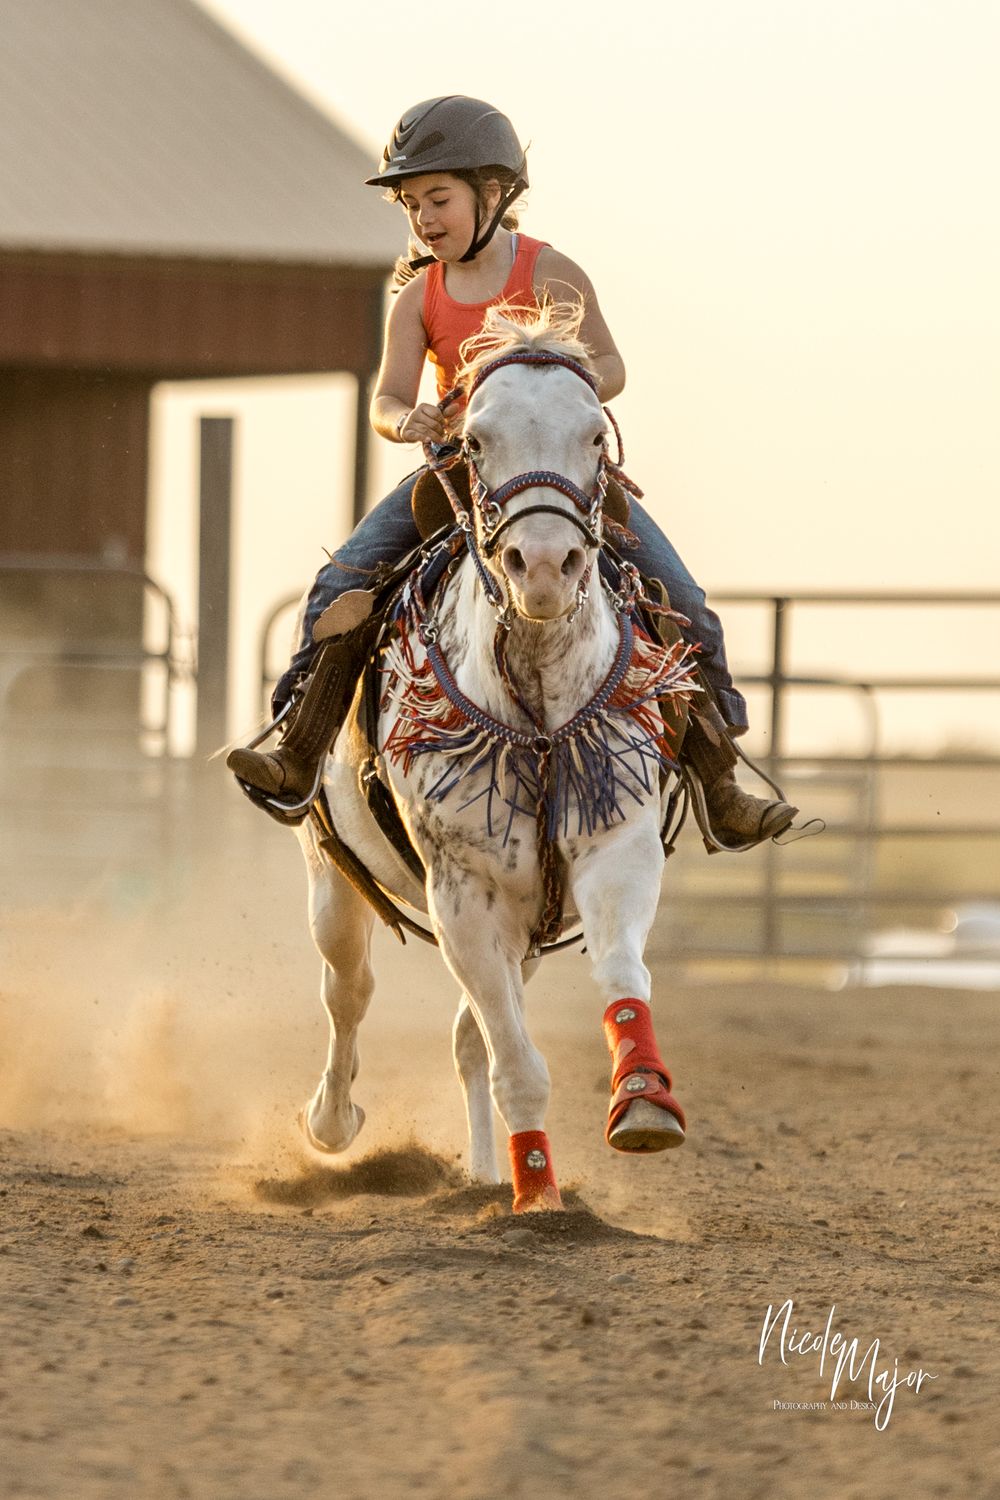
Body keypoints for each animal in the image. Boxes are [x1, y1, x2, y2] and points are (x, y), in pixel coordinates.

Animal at [295, 303, 698, 1213]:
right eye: (473, 440)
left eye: (594, 435)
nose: (544, 566)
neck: (539, 709)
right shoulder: (464, 897)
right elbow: (519, 1065)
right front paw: (538, 1198)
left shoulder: (614, 852)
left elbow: (619, 978)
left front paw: (643, 1103)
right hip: (330, 872)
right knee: (347, 993)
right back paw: (331, 1123)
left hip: (526, 927)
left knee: (464, 1036)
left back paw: (484, 1171)